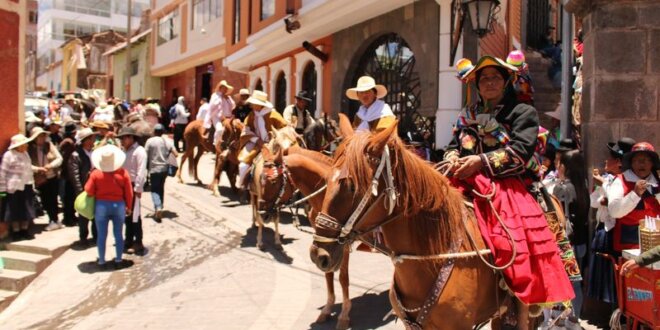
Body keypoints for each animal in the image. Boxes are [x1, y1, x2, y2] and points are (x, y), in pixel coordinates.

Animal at [258, 146, 354, 328]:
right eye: (260, 179)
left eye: (273, 181)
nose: (262, 214)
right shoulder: (324, 244)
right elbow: (328, 273)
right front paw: (327, 309)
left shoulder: (342, 243)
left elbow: (343, 277)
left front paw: (344, 315)